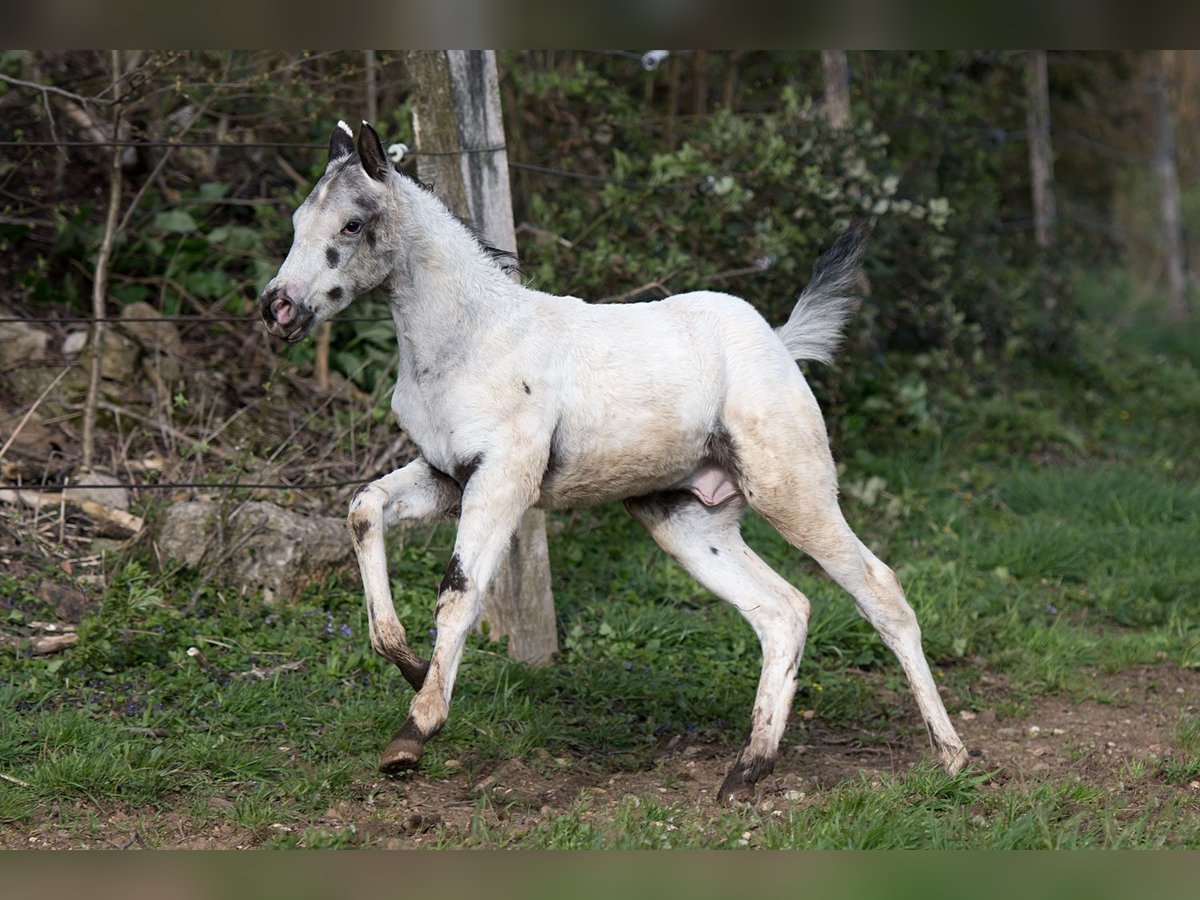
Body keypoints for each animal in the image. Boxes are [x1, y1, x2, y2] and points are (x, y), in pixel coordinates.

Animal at [260, 120, 964, 801]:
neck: (470, 339)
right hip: (687, 521)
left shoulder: (502, 479)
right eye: (296, 220)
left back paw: (950, 756)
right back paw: (747, 771)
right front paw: (405, 662)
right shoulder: (446, 475)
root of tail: (781, 344)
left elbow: (459, 591)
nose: (278, 307)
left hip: (792, 490)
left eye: (353, 224)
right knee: (783, 610)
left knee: (880, 590)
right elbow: (363, 508)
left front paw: (414, 733)